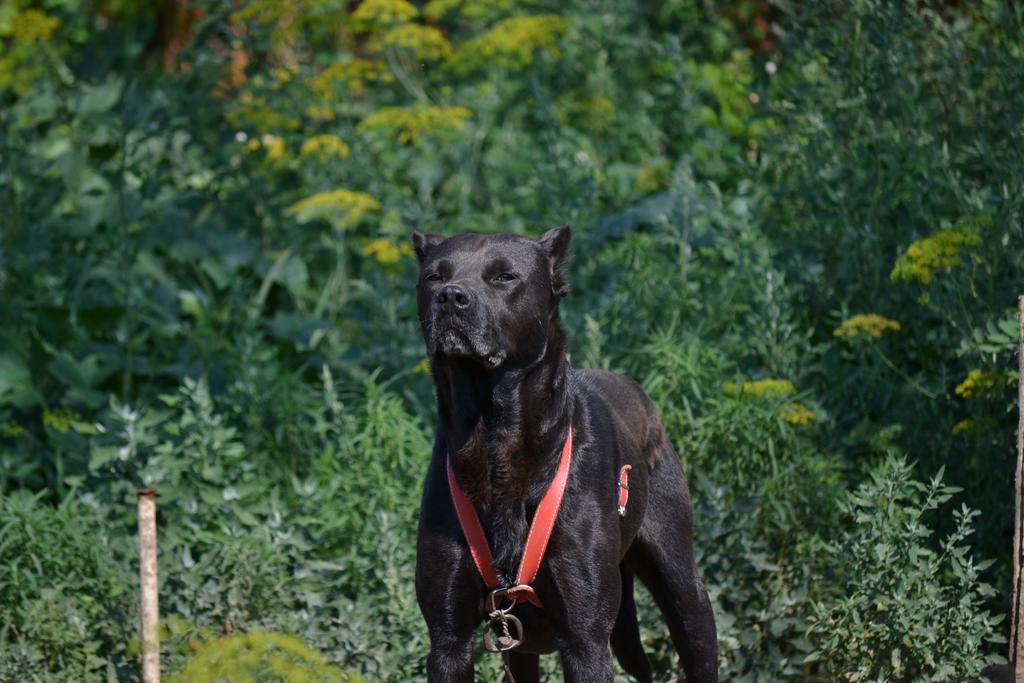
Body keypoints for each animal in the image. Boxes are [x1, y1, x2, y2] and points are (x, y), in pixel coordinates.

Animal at [411, 227, 716, 679]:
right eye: (433, 277)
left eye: (504, 276)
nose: (450, 296)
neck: (495, 434)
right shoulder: (449, 641)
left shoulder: (585, 640)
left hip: (681, 586)